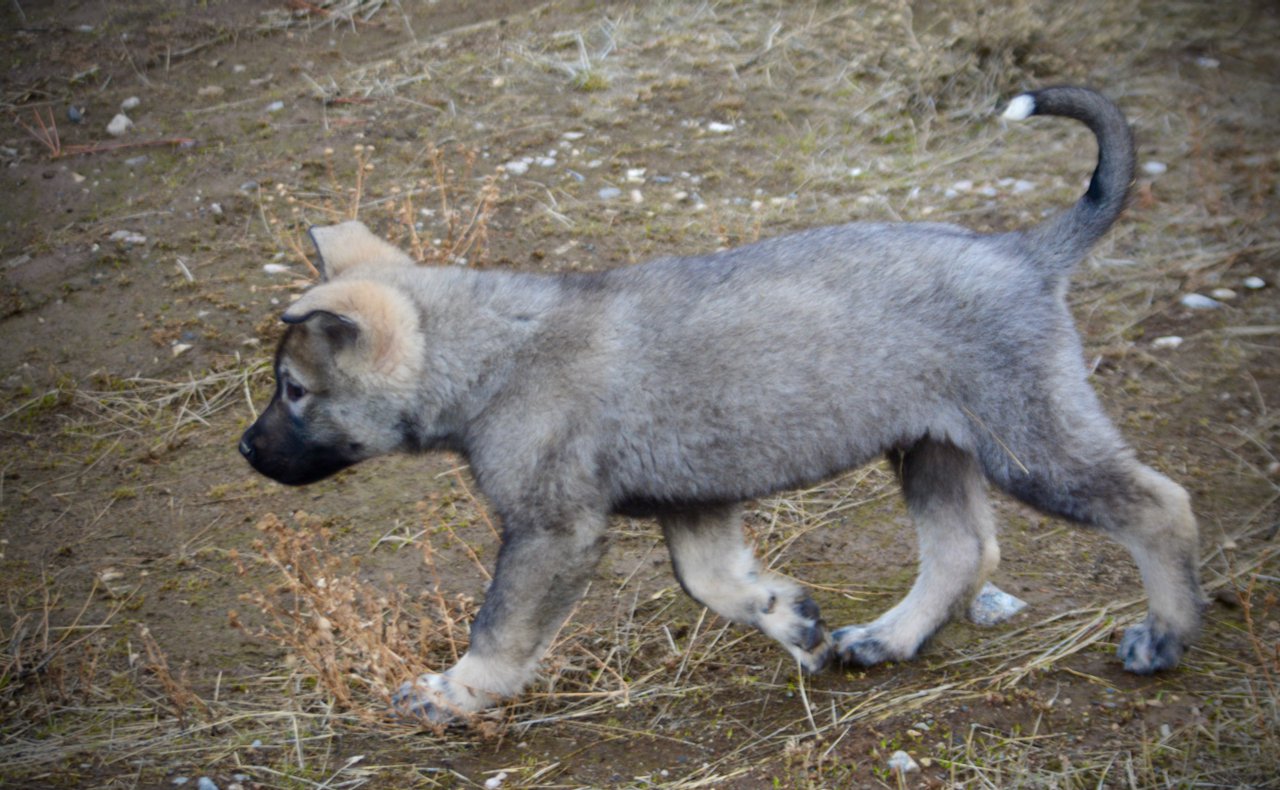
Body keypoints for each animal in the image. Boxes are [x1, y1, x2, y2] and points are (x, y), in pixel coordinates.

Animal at [238, 84, 1198, 722]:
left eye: (294, 391)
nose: (246, 452)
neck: (491, 355)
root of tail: (1025, 252)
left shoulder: (552, 532)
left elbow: (501, 628)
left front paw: (453, 694)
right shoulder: (691, 500)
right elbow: (712, 583)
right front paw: (793, 622)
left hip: (1029, 441)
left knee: (1158, 506)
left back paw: (1165, 634)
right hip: (930, 445)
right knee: (963, 549)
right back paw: (886, 639)